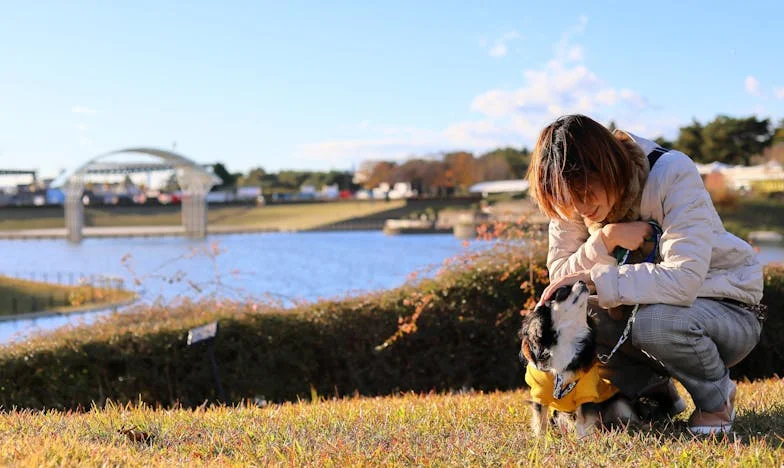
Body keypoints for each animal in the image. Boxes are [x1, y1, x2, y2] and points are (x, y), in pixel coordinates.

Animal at [520, 280, 636, 436]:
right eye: (563, 291)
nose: (581, 280)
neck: (567, 337)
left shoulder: (586, 391)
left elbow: (584, 420)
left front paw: (583, 439)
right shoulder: (539, 392)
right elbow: (540, 420)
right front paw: (540, 438)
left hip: (620, 403)